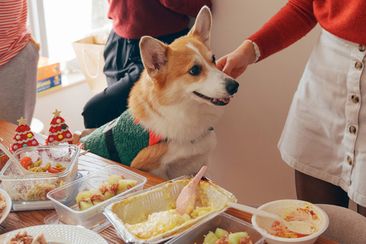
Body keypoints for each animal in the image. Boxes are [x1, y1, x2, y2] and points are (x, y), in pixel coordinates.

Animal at [78, 6, 239, 178]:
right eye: (194, 70)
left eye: (213, 59)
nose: (235, 86)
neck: (184, 112)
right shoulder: (153, 168)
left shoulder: (198, 163)